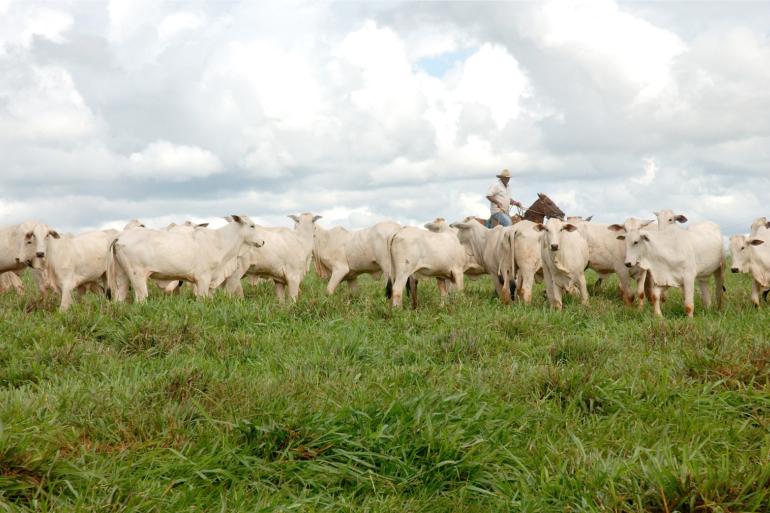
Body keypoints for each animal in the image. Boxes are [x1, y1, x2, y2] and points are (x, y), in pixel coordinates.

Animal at [108, 214, 264, 302]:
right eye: (252, 226)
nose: (262, 242)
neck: (219, 241)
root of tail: (120, 236)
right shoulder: (203, 278)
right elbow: (202, 299)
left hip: (122, 275)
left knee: (120, 297)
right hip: (137, 276)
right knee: (141, 297)